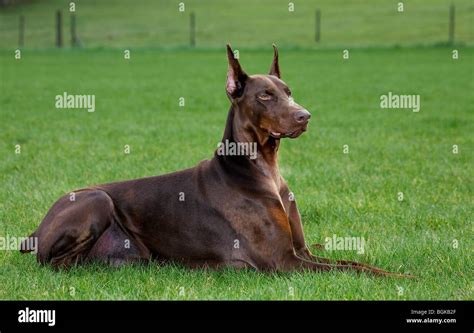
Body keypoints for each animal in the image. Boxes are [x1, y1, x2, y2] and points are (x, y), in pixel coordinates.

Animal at [21, 45, 408, 276]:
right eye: (265, 95)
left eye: (288, 91)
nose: (305, 116)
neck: (263, 168)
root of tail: (35, 231)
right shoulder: (284, 262)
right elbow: (357, 269)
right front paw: (402, 276)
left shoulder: (302, 252)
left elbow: (351, 260)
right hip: (97, 200)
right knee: (62, 265)